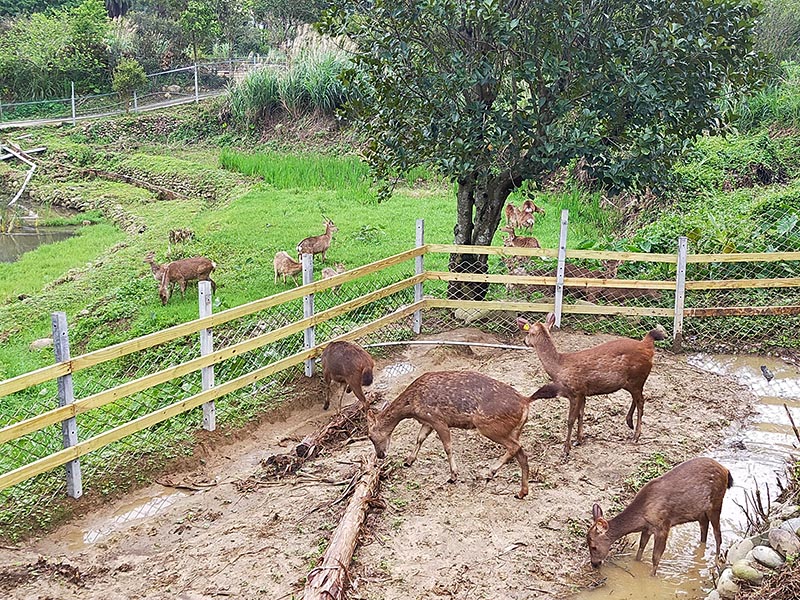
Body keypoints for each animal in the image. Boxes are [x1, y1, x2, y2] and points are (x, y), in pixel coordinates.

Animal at [366, 370, 533, 499]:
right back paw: (521, 492)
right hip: (512, 430)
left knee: (515, 447)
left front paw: (453, 475)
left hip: (489, 426)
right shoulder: (427, 422)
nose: (380, 455)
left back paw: (488, 472)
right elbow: (419, 438)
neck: (412, 405)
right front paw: (409, 460)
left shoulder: (438, 420)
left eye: (370, 436)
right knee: (521, 453)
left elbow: (447, 447)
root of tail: (526, 402)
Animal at [516, 313, 666, 457]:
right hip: (633, 382)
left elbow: (570, 420)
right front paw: (578, 440)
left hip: (637, 378)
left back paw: (636, 436)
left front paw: (566, 449)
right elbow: (581, 415)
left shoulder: (575, 392)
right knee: (637, 399)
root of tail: (647, 345)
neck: (559, 367)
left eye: (529, 332)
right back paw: (629, 423)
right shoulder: (583, 393)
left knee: (641, 402)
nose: (524, 341)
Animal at [588, 457, 733, 575]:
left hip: (716, 502)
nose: (594, 564)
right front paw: (637, 563)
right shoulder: (647, 528)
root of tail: (725, 470)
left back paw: (717, 559)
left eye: (593, 546)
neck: (642, 515)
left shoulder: (663, 526)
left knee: (717, 534)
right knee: (704, 526)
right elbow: (641, 548)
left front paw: (652, 577)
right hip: (699, 510)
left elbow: (656, 557)